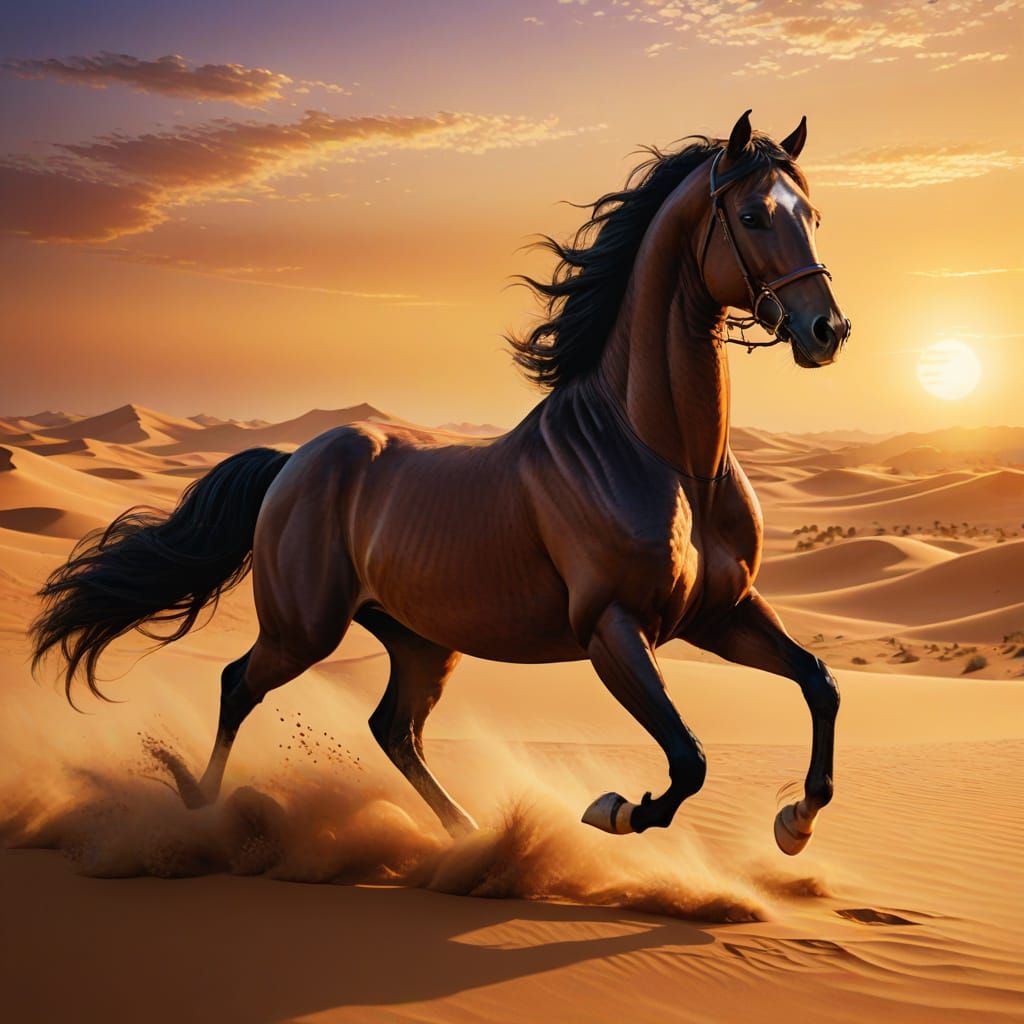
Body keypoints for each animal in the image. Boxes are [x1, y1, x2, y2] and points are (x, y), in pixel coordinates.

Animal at [32, 110, 850, 855]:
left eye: (812, 215)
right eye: (752, 215)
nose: (827, 331)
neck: (671, 462)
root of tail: (293, 462)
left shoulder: (722, 612)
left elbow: (819, 682)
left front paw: (795, 823)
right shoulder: (613, 628)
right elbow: (688, 759)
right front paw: (613, 809)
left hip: (421, 642)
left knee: (393, 728)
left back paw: (468, 834)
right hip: (303, 629)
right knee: (240, 684)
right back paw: (201, 808)